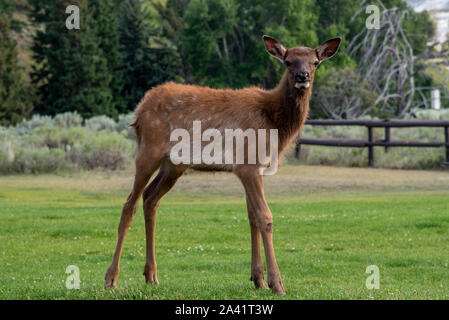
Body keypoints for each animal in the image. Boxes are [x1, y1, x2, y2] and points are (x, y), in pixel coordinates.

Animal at [104, 35, 340, 296]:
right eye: (288, 62)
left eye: (315, 62)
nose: (302, 76)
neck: (272, 121)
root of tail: (139, 110)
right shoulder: (247, 164)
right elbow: (265, 217)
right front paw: (277, 284)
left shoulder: (255, 167)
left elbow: (252, 216)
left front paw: (257, 279)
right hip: (148, 150)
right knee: (130, 205)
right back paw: (111, 278)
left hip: (174, 164)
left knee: (150, 198)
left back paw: (151, 275)